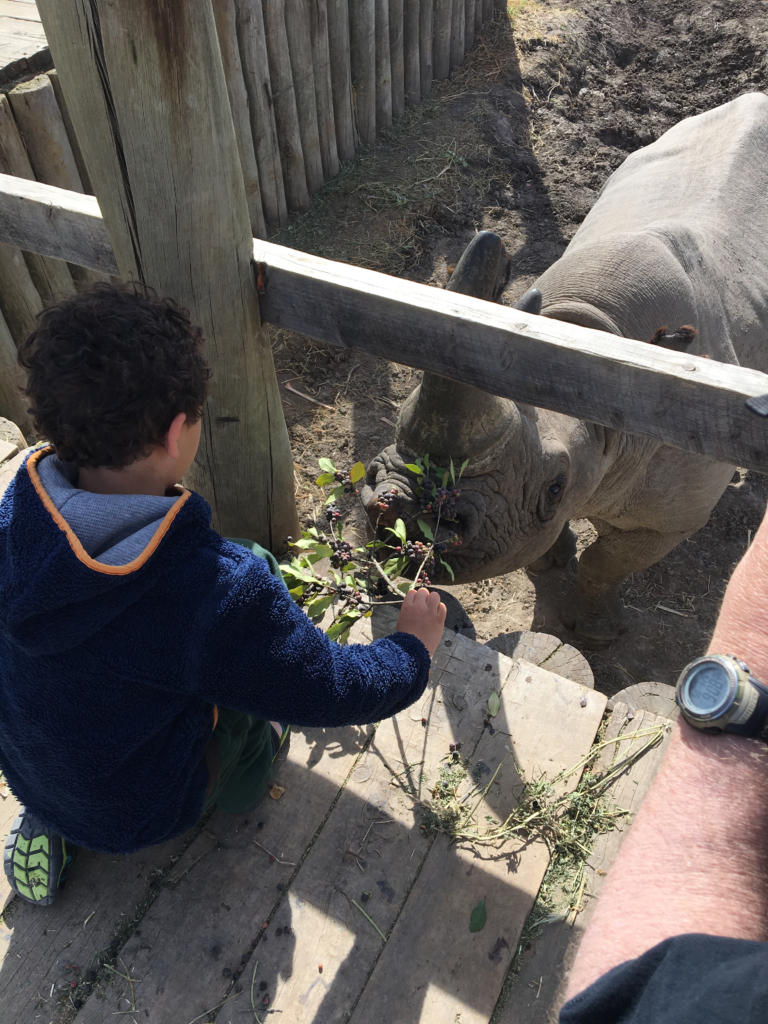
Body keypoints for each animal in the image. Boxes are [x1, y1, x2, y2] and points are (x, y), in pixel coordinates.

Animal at [362, 93, 768, 647]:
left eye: (555, 488)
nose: (401, 508)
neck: (592, 337)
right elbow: (540, 552)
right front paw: (554, 573)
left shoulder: (669, 520)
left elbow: (606, 563)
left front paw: (593, 632)